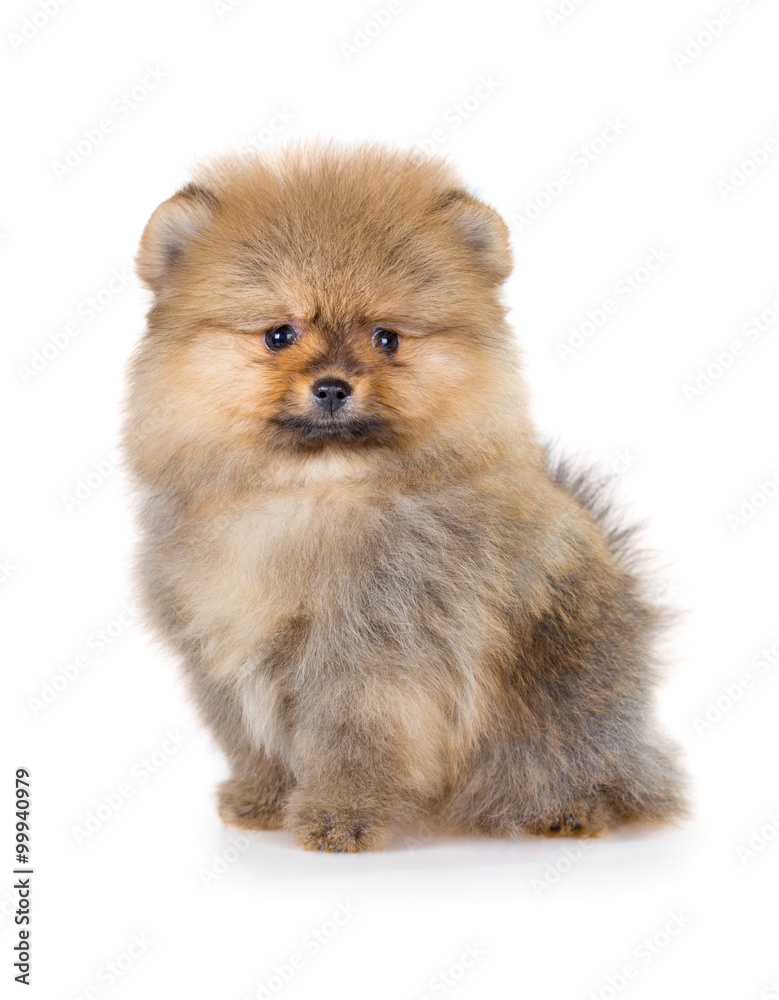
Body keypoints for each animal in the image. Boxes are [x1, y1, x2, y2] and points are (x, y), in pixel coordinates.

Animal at [123, 141, 688, 852]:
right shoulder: (224, 649)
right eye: (280, 334)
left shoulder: (375, 656)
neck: (317, 489)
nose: (333, 386)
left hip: (570, 701)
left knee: (590, 767)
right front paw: (264, 798)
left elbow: (353, 744)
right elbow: (253, 737)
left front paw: (340, 818)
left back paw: (566, 810)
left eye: (386, 337)